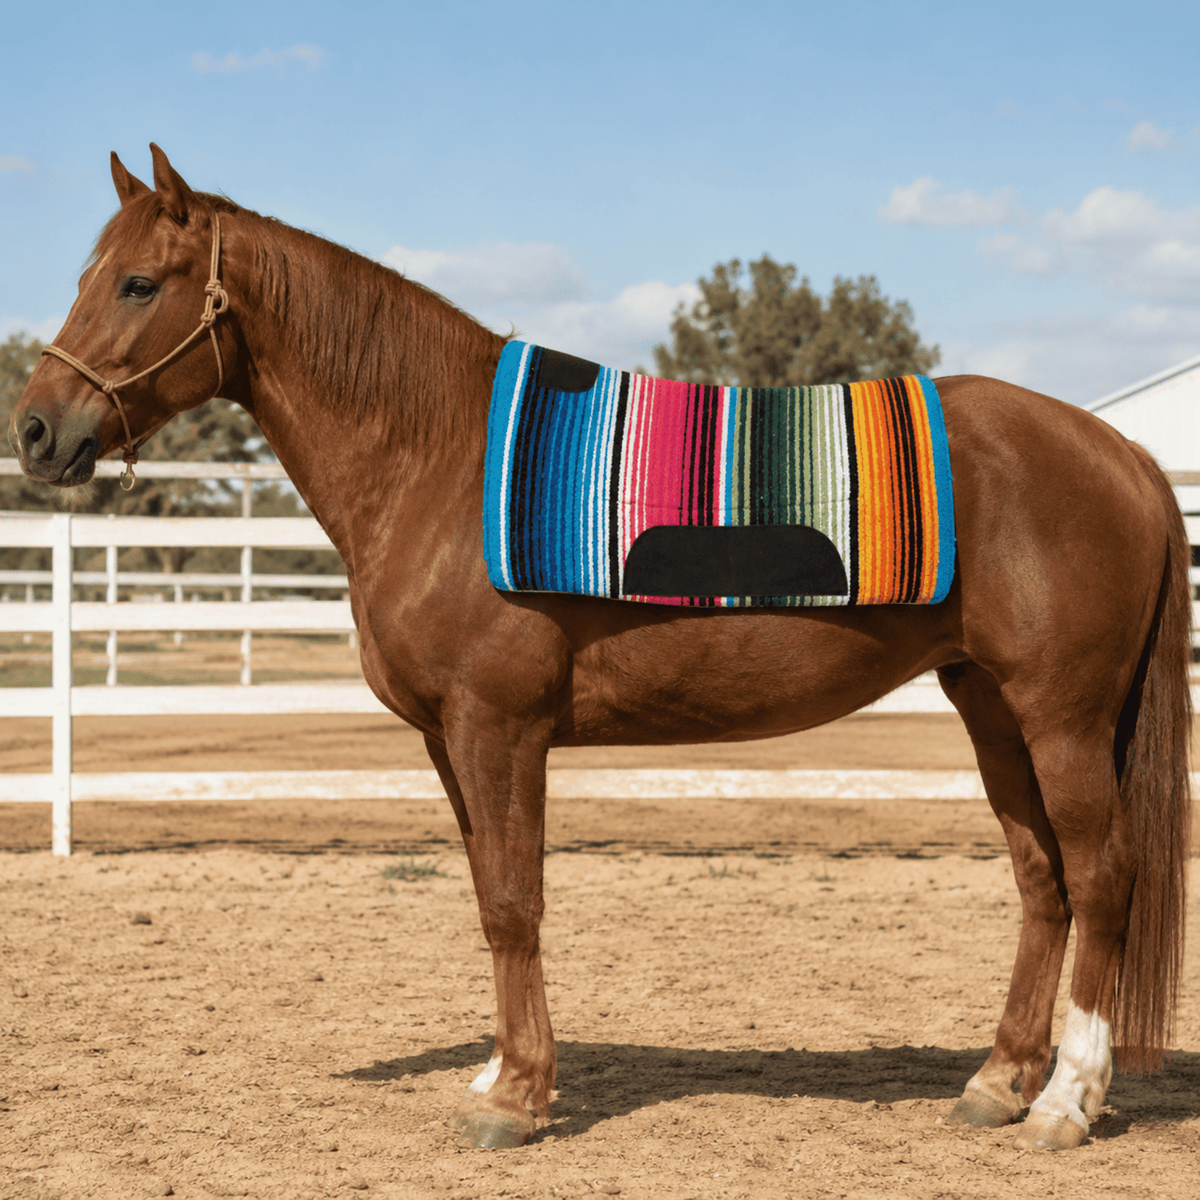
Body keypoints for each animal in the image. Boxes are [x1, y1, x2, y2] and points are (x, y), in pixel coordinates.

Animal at [9, 145, 1190, 1153]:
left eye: (138, 284)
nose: (34, 431)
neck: (437, 456)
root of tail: (1121, 449)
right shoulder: (451, 743)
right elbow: (490, 894)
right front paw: (501, 1073)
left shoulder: (498, 729)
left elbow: (512, 902)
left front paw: (518, 1099)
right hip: (990, 705)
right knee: (1043, 881)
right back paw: (999, 1083)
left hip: (1062, 718)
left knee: (1102, 876)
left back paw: (1068, 1101)